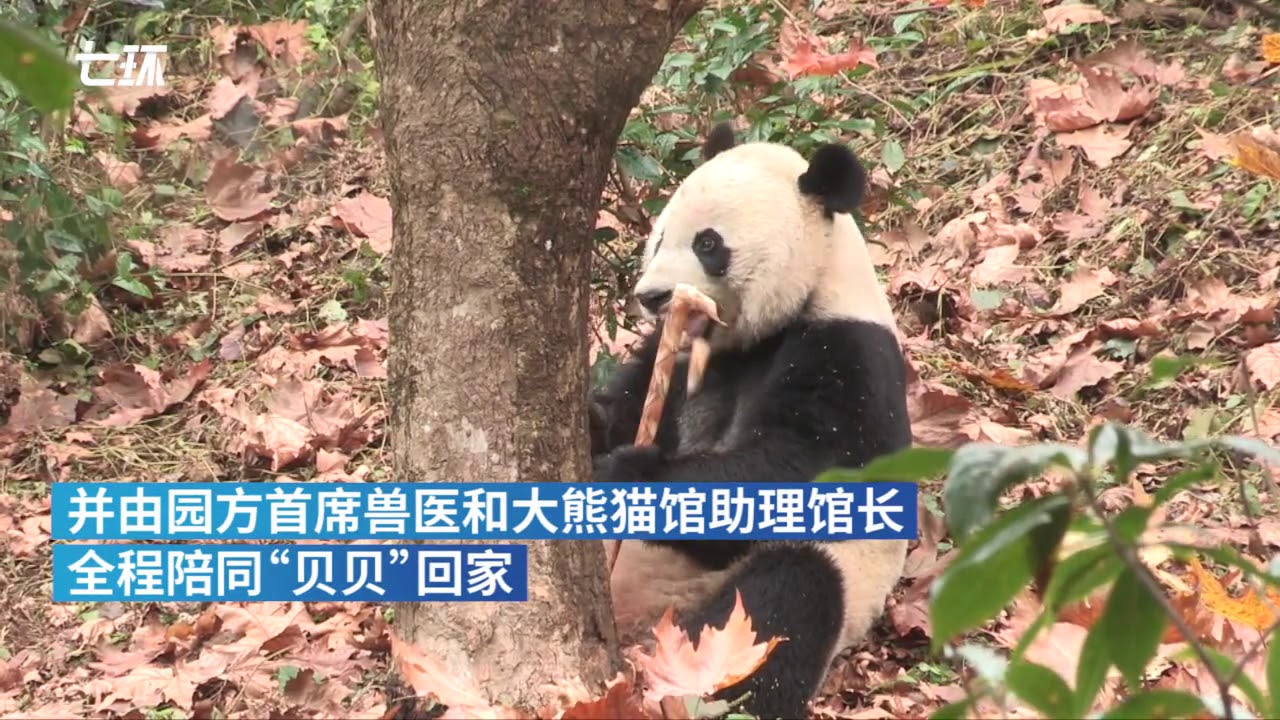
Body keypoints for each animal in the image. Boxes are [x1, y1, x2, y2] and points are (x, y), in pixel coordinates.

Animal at [588, 121, 913, 720]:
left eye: (708, 243)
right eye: (659, 238)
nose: (652, 297)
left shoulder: (850, 356)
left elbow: (799, 472)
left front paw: (628, 475)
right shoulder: (673, 357)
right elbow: (624, 408)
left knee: (787, 596)